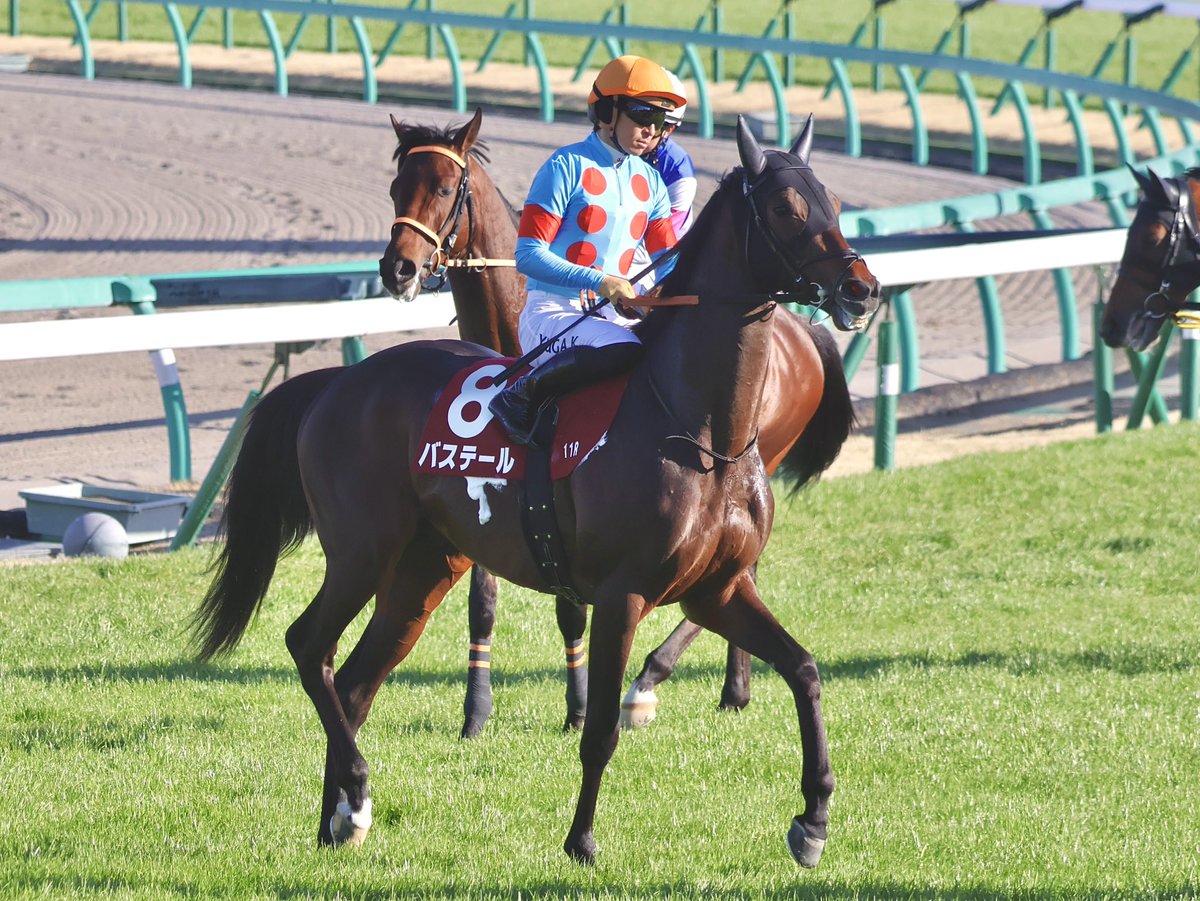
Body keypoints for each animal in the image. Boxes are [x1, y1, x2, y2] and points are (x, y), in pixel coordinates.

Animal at [379, 109, 875, 737]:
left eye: (446, 189)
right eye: (397, 187)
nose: (397, 268)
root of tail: (803, 334)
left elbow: (569, 608)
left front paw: (578, 704)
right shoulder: (487, 489)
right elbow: (489, 600)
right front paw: (479, 710)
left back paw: (654, 682)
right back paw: (729, 687)